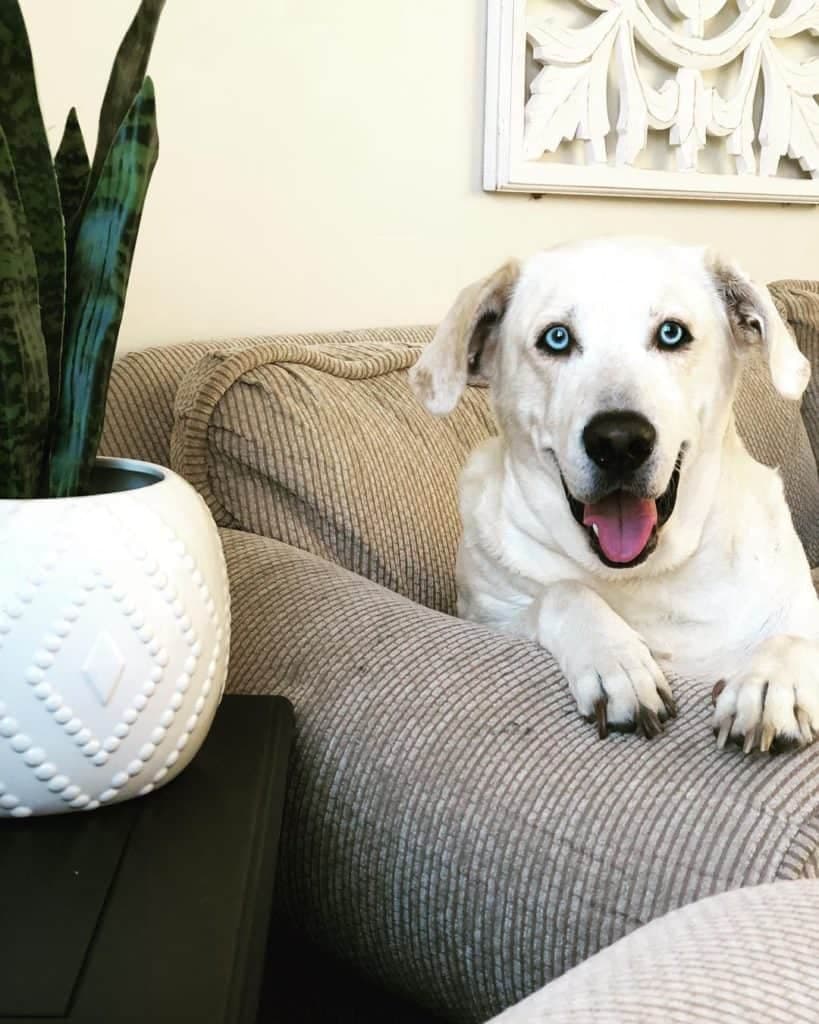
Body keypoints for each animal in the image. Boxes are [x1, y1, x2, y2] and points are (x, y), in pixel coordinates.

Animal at [409, 239, 818, 753]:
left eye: (671, 333)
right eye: (557, 338)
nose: (619, 442)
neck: (647, 576)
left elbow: (794, 639)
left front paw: (770, 684)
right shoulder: (489, 619)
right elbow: (563, 592)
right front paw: (615, 660)